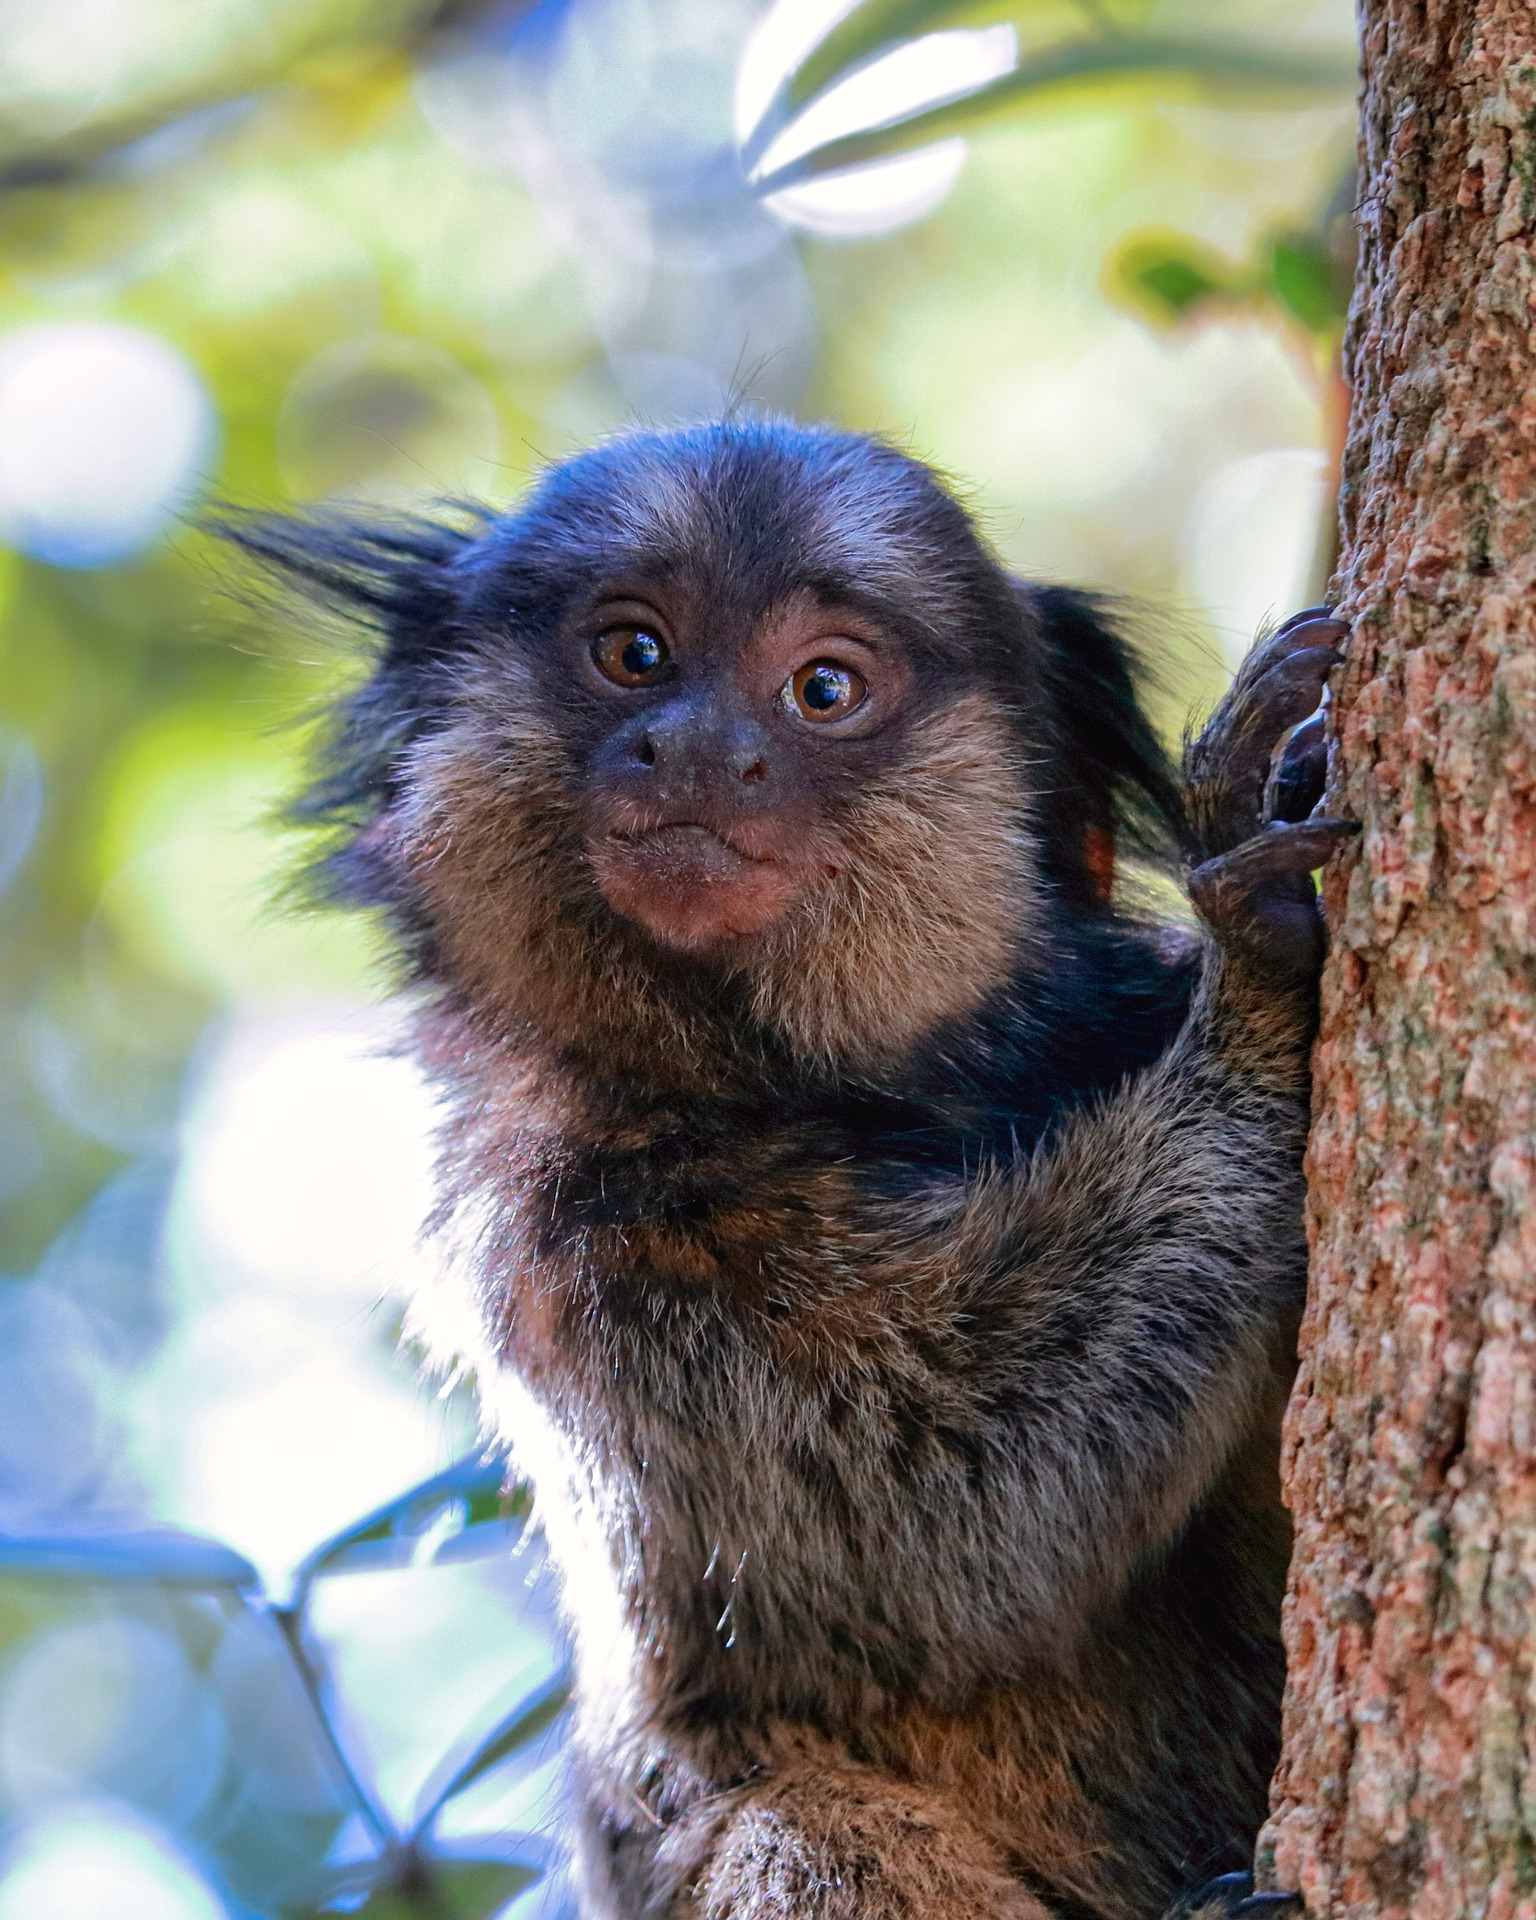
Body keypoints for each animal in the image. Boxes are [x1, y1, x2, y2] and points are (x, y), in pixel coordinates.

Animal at [234, 424, 1351, 1920]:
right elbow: (953, 1510)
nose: (702, 748)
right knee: (795, 1827)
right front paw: (1259, 989)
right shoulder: (553, 1234)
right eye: (633, 654)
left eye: (823, 689)